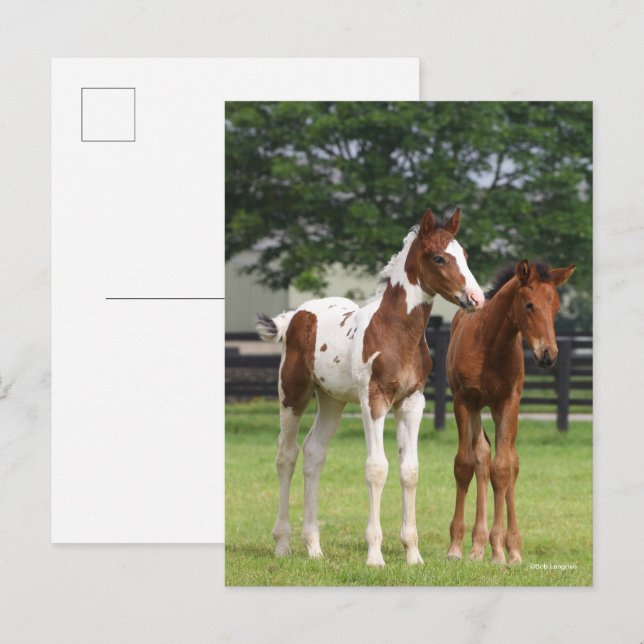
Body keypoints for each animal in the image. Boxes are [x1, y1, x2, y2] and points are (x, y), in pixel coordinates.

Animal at [255, 207, 485, 567]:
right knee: (286, 456)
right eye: (439, 258)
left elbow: (409, 470)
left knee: (313, 454)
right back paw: (283, 544)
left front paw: (413, 555)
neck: (396, 332)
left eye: (464, 254)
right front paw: (375, 555)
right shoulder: (374, 399)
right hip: (292, 393)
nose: (477, 298)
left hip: (332, 401)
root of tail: (296, 315)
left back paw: (314, 547)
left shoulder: (412, 402)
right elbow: (377, 468)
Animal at [445, 259, 575, 564]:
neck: (490, 345)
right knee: (481, 456)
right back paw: (476, 546)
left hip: (497, 409)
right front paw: (456, 547)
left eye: (556, 307)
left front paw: (499, 551)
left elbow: (503, 469)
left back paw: (511, 548)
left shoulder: (508, 402)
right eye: (528, 304)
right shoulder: (464, 401)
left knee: (509, 461)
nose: (548, 355)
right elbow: (465, 464)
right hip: (478, 408)